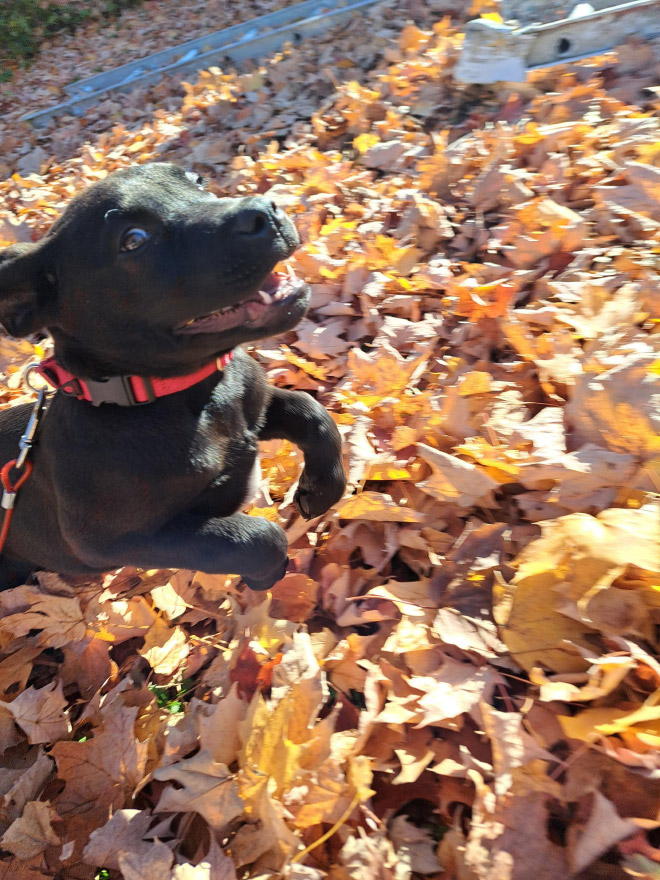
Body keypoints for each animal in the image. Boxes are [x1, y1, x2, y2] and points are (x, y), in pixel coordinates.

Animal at [0, 165, 346, 592]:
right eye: (133, 240)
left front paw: (322, 486)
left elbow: (312, 411)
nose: (266, 210)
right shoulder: (113, 541)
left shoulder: (256, 407)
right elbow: (254, 538)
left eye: (197, 181)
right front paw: (266, 574)